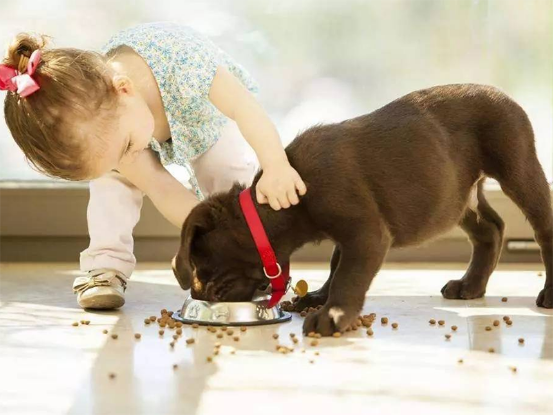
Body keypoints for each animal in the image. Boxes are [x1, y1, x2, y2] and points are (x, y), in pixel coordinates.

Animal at [170, 83, 548, 334]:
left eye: (200, 262)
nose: (196, 293)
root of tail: (502, 93)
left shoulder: (365, 233)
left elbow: (348, 275)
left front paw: (332, 315)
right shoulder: (349, 234)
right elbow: (336, 264)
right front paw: (318, 297)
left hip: (518, 168)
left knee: (543, 229)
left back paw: (548, 294)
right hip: (457, 197)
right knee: (491, 228)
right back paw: (471, 285)